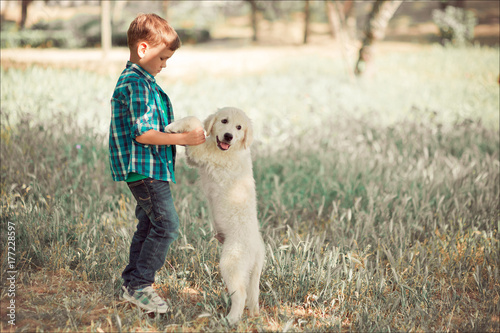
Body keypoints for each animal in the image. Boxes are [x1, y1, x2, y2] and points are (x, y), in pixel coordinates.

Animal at [166, 107, 266, 324]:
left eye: (239, 127)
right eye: (224, 121)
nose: (228, 136)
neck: (231, 149)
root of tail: (257, 248)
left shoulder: (202, 152)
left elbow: (195, 121)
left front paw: (173, 127)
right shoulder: (196, 157)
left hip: (231, 263)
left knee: (240, 294)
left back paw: (230, 320)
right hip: (252, 273)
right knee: (253, 295)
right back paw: (252, 315)